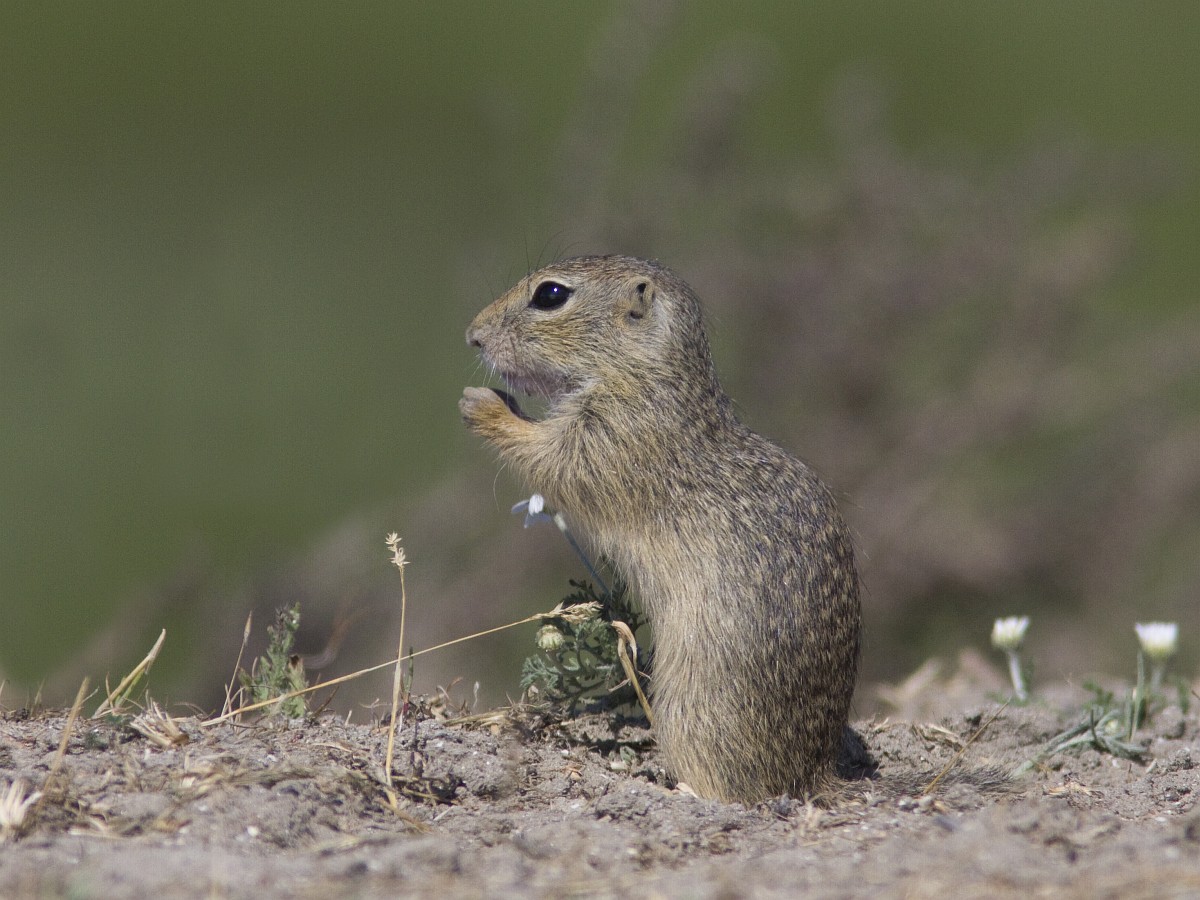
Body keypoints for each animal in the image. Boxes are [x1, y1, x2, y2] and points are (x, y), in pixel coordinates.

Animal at [461, 255, 862, 803]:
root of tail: (813, 776)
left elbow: (548, 456)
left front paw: (481, 403)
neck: (648, 376)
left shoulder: (609, 438)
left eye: (550, 295)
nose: (473, 336)